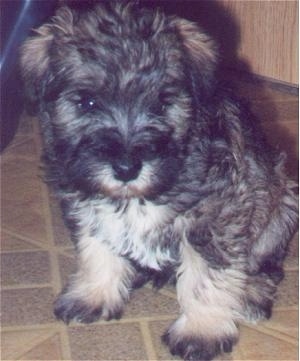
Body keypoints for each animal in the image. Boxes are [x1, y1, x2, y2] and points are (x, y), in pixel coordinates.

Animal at [21, 1, 298, 358]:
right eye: (87, 102)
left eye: (161, 102)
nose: (126, 168)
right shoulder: (85, 203)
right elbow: (96, 249)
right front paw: (94, 294)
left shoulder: (215, 220)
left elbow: (205, 277)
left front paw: (201, 331)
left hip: (280, 201)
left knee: (264, 265)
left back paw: (250, 296)